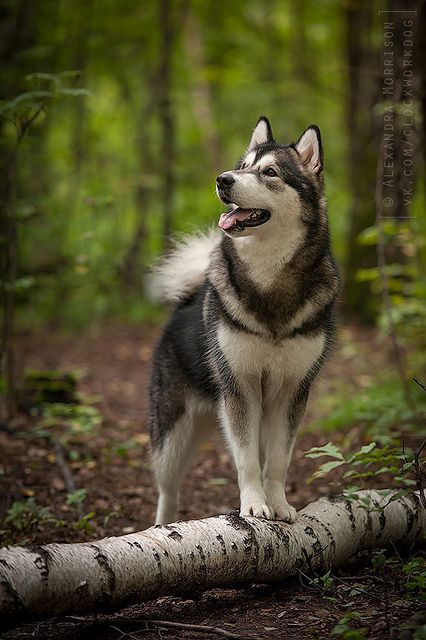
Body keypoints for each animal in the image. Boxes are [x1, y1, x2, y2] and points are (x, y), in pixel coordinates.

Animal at [150, 117, 340, 524]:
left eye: (269, 172)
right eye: (242, 166)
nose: (223, 179)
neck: (269, 281)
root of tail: (187, 301)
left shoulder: (291, 392)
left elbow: (278, 461)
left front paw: (279, 503)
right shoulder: (240, 389)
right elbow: (247, 460)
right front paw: (254, 504)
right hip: (173, 436)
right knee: (167, 489)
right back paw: (163, 526)